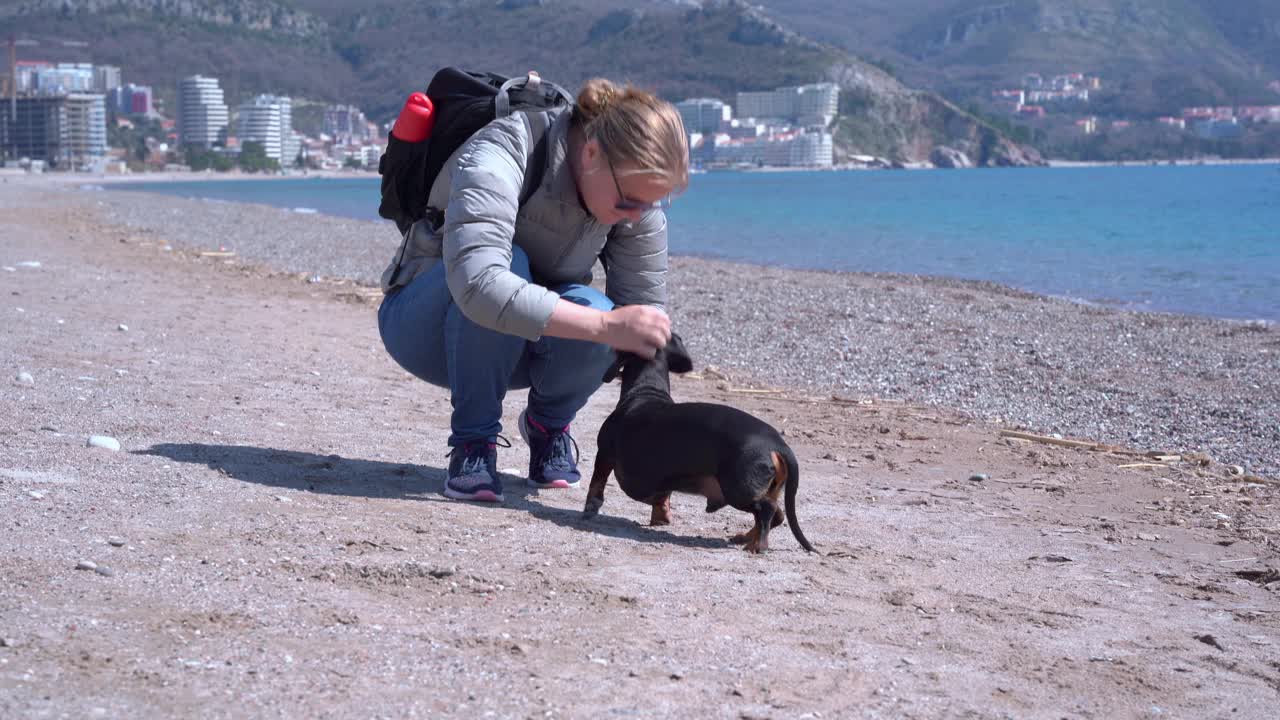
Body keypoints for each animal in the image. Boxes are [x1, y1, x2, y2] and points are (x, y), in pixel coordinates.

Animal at [583, 333, 814, 550]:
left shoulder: (604, 453)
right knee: (776, 515)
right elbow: (662, 496)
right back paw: (746, 537)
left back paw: (757, 546)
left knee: (767, 511)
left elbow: (597, 482)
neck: (645, 391)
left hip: (739, 490)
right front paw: (661, 517)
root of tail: (778, 444)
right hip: (762, 489)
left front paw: (589, 508)